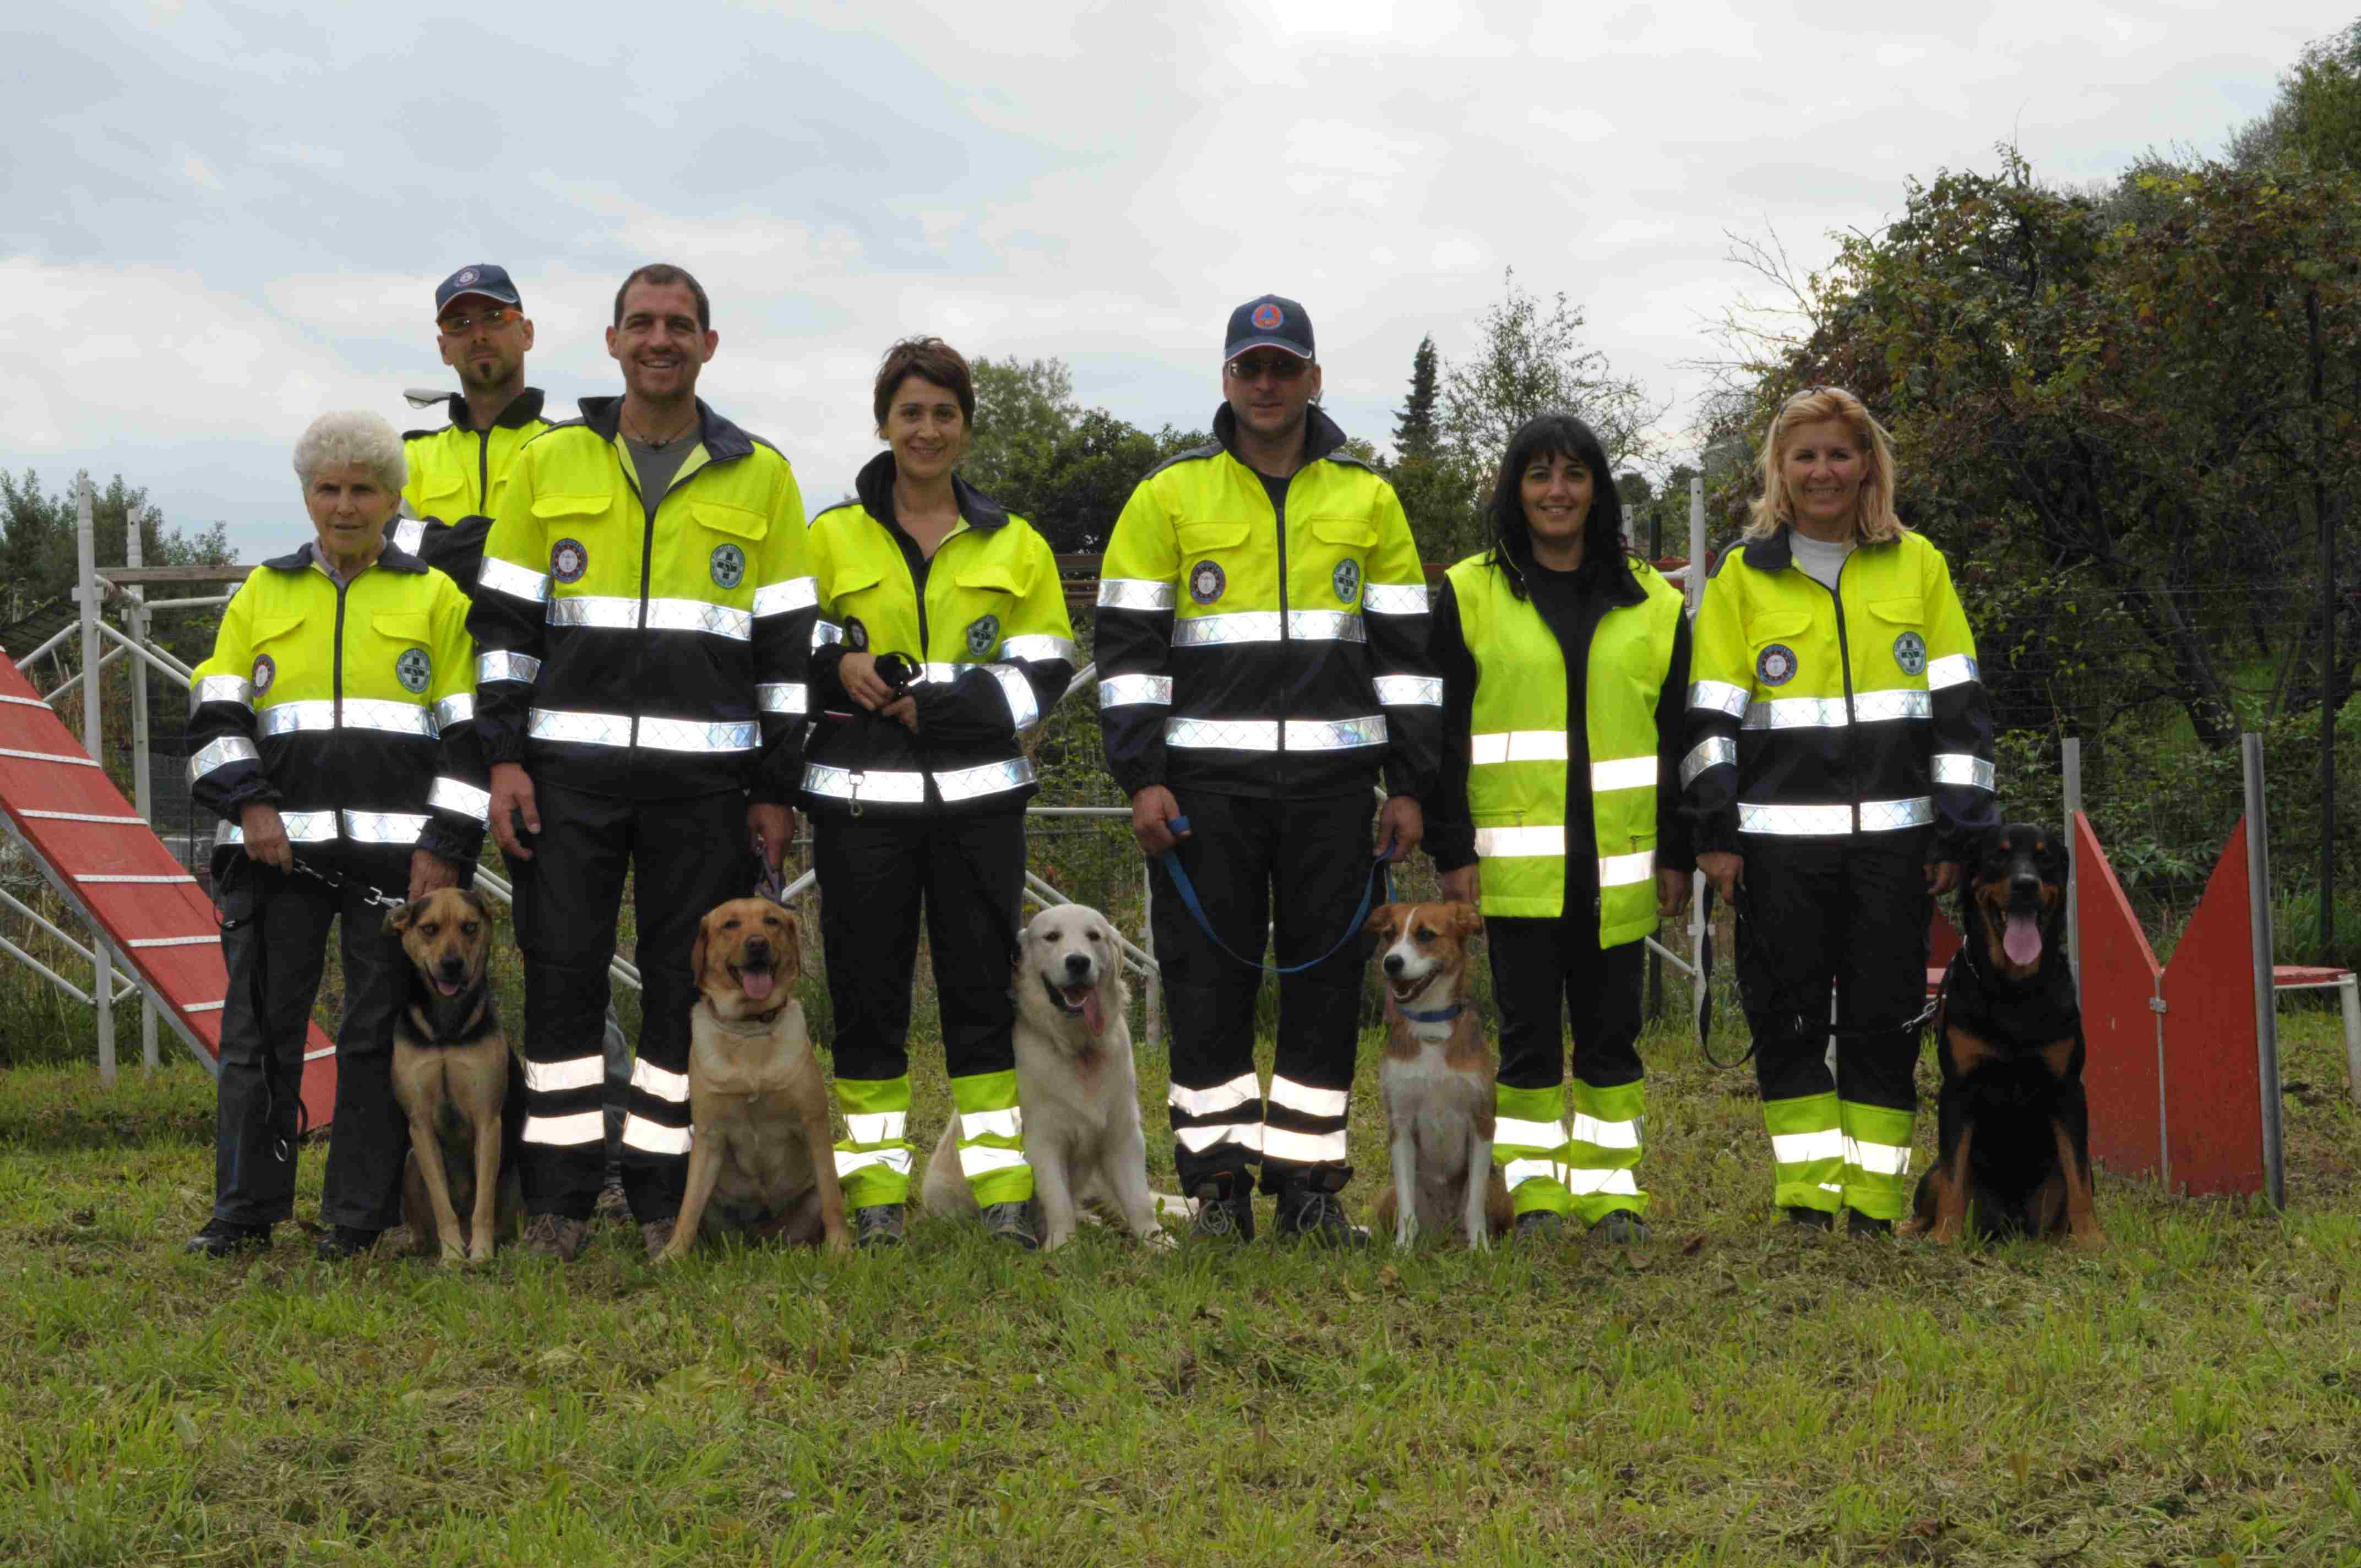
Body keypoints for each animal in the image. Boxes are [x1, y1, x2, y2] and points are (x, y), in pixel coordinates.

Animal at [387, 888, 521, 1265]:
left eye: (470, 927)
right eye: (429, 929)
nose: (452, 964)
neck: (446, 1026)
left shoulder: (488, 1120)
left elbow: (483, 1205)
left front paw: (481, 1254)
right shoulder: (420, 1125)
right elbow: (441, 1202)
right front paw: (451, 1258)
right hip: (410, 1163)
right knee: (428, 1228)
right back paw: (421, 1246)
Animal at [661, 892, 855, 1265]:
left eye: (772, 921)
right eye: (730, 924)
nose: (757, 944)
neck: (750, 1028)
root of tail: (762, 1239)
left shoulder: (812, 1123)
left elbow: (832, 1200)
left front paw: (840, 1250)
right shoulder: (709, 1135)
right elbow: (688, 1208)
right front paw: (671, 1256)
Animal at [921, 907, 1180, 1246]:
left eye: (1094, 936)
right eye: (1052, 937)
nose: (1078, 962)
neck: (1077, 1047)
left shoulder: (1123, 1133)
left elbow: (1139, 1201)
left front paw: (1157, 1242)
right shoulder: (1043, 1140)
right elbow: (1058, 1201)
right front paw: (1063, 1246)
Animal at [1369, 907, 1511, 1246]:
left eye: (1425, 935)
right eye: (1388, 934)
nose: (1391, 962)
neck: (1430, 1026)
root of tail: (1444, 1228)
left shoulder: (1482, 1122)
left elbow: (1475, 1205)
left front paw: (1480, 1250)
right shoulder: (1400, 1125)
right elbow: (1408, 1210)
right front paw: (1403, 1250)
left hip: (1501, 1195)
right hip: (1386, 1199)